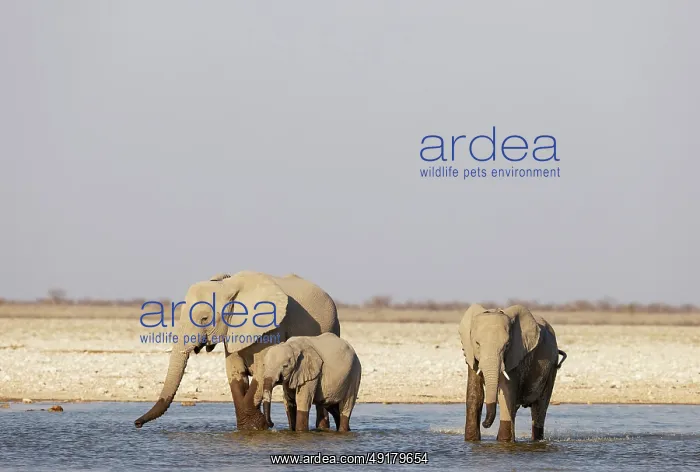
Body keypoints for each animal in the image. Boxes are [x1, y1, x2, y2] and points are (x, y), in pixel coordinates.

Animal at [134, 271, 341, 431]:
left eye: (204, 318)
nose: (137, 424)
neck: (229, 286)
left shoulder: (271, 328)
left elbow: (262, 370)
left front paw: (255, 427)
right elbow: (234, 374)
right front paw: (249, 428)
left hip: (332, 327)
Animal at [458, 304, 567, 442]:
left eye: (507, 345)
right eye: (477, 344)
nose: (485, 424)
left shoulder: (516, 354)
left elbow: (506, 394)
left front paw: (503, 442)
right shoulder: (471, 355)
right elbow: (475, 395)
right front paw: (472, 441)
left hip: (552, 367)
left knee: (540, 407)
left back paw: (536, 439)